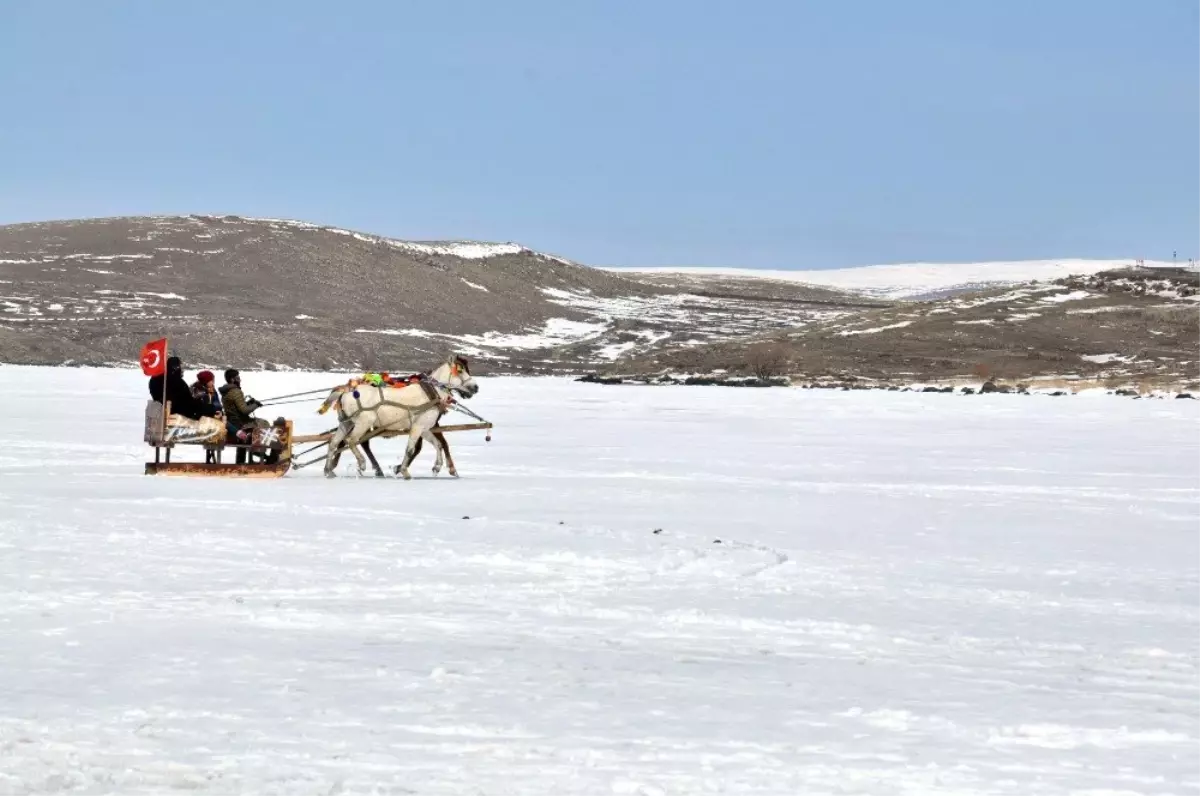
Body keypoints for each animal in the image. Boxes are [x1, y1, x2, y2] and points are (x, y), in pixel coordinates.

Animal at [319, 355, 477, 480]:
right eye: (460, 370)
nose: (475, 387)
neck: (431, 393)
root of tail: (345, 392)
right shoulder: (417, 427)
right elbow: (411, 449)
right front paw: (404, 471)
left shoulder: (425, 428)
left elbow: (438, 444)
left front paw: (437, 466)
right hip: (363, 422)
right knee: (351, 440)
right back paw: (362, 463)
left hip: (346, 423)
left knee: (334, 443)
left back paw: (328, 470)